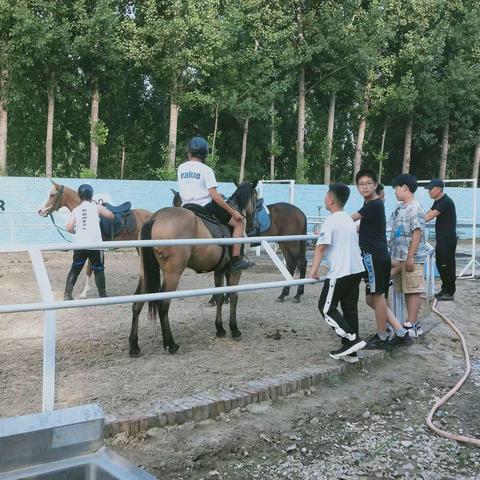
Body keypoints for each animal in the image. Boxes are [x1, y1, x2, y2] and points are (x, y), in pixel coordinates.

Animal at [129, 180, 258, 356]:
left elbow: (219, 297)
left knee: (137, 303)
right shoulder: (234, 270)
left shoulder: (219, 270)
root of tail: (154, 218)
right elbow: (233, 296)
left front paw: (220, 328)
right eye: (257, 198)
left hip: (145, 272)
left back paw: (134, 345)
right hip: (173, 273)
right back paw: (170, 343)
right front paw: (234, 329)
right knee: (163, 304)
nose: (254, 225)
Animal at [172, 188, 308, 304]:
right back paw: (283, 294)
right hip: (285, 243)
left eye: (180, 201)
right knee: (291, 264)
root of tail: (300, 212)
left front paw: (223, 297)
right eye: (174, 203)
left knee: (301, 263)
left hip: (292, 243)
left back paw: (297, 295)